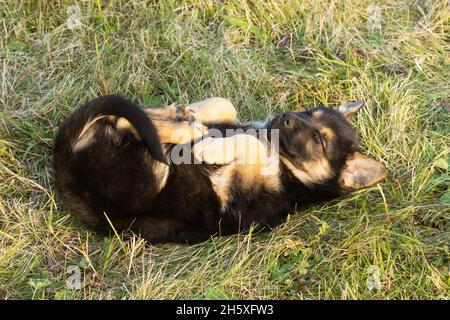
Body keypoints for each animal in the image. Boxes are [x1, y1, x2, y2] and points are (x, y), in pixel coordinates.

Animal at [53, 94, 386, 242]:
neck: (290, 173)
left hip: (146, 178)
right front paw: (194, 114)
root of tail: (66, 168)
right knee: (125, 119)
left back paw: (183, 131)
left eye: (319, 141)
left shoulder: (233, 199)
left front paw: (207, 146)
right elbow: (227, 105)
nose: (285, 117)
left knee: (130, 129)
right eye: (308, 112)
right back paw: (175, 117)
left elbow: (250, 145)